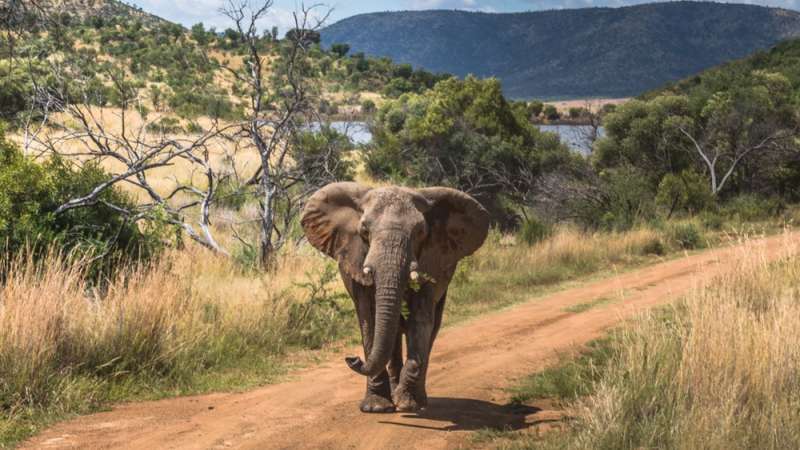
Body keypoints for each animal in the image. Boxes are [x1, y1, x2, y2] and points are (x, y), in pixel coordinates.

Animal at [301, 182, 490, 413]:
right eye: (364, 231)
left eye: (420, 232)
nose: (352, 358)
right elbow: (370, 319)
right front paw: (376, 408)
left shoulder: (432, 261)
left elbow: (420, 321)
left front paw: (407, 403)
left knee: (430, 327)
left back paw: (418, 399)